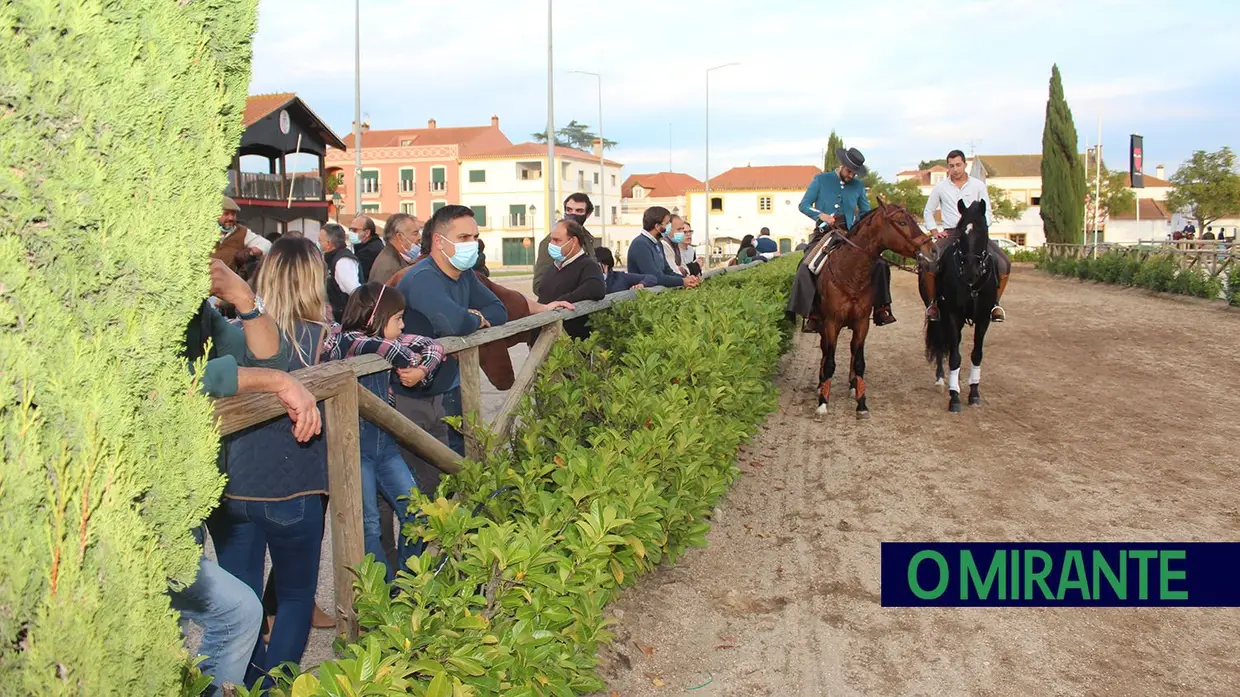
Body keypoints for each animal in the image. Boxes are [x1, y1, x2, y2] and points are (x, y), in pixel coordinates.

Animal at [813, 198, 932, 421]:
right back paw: (821, 384)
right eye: (902, 222)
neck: (851, 273)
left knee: (853, 352)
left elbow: (860, 361)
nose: (932, 251)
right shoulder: (831, 323)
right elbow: (830, 360)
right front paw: (823, 402)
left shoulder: (861, 323)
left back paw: (852, 385)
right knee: (826, 352)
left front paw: (861, 403)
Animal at [922, 198, 996, 409]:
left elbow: (976, 354)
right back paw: (941, 380)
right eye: (962, 230)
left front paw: (974, 393)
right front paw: (954, 396)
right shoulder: (953, 315)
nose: (970, 270)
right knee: (941, 344)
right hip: (939, 316)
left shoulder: (983, 318)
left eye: (983, 229)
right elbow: (954, 356)